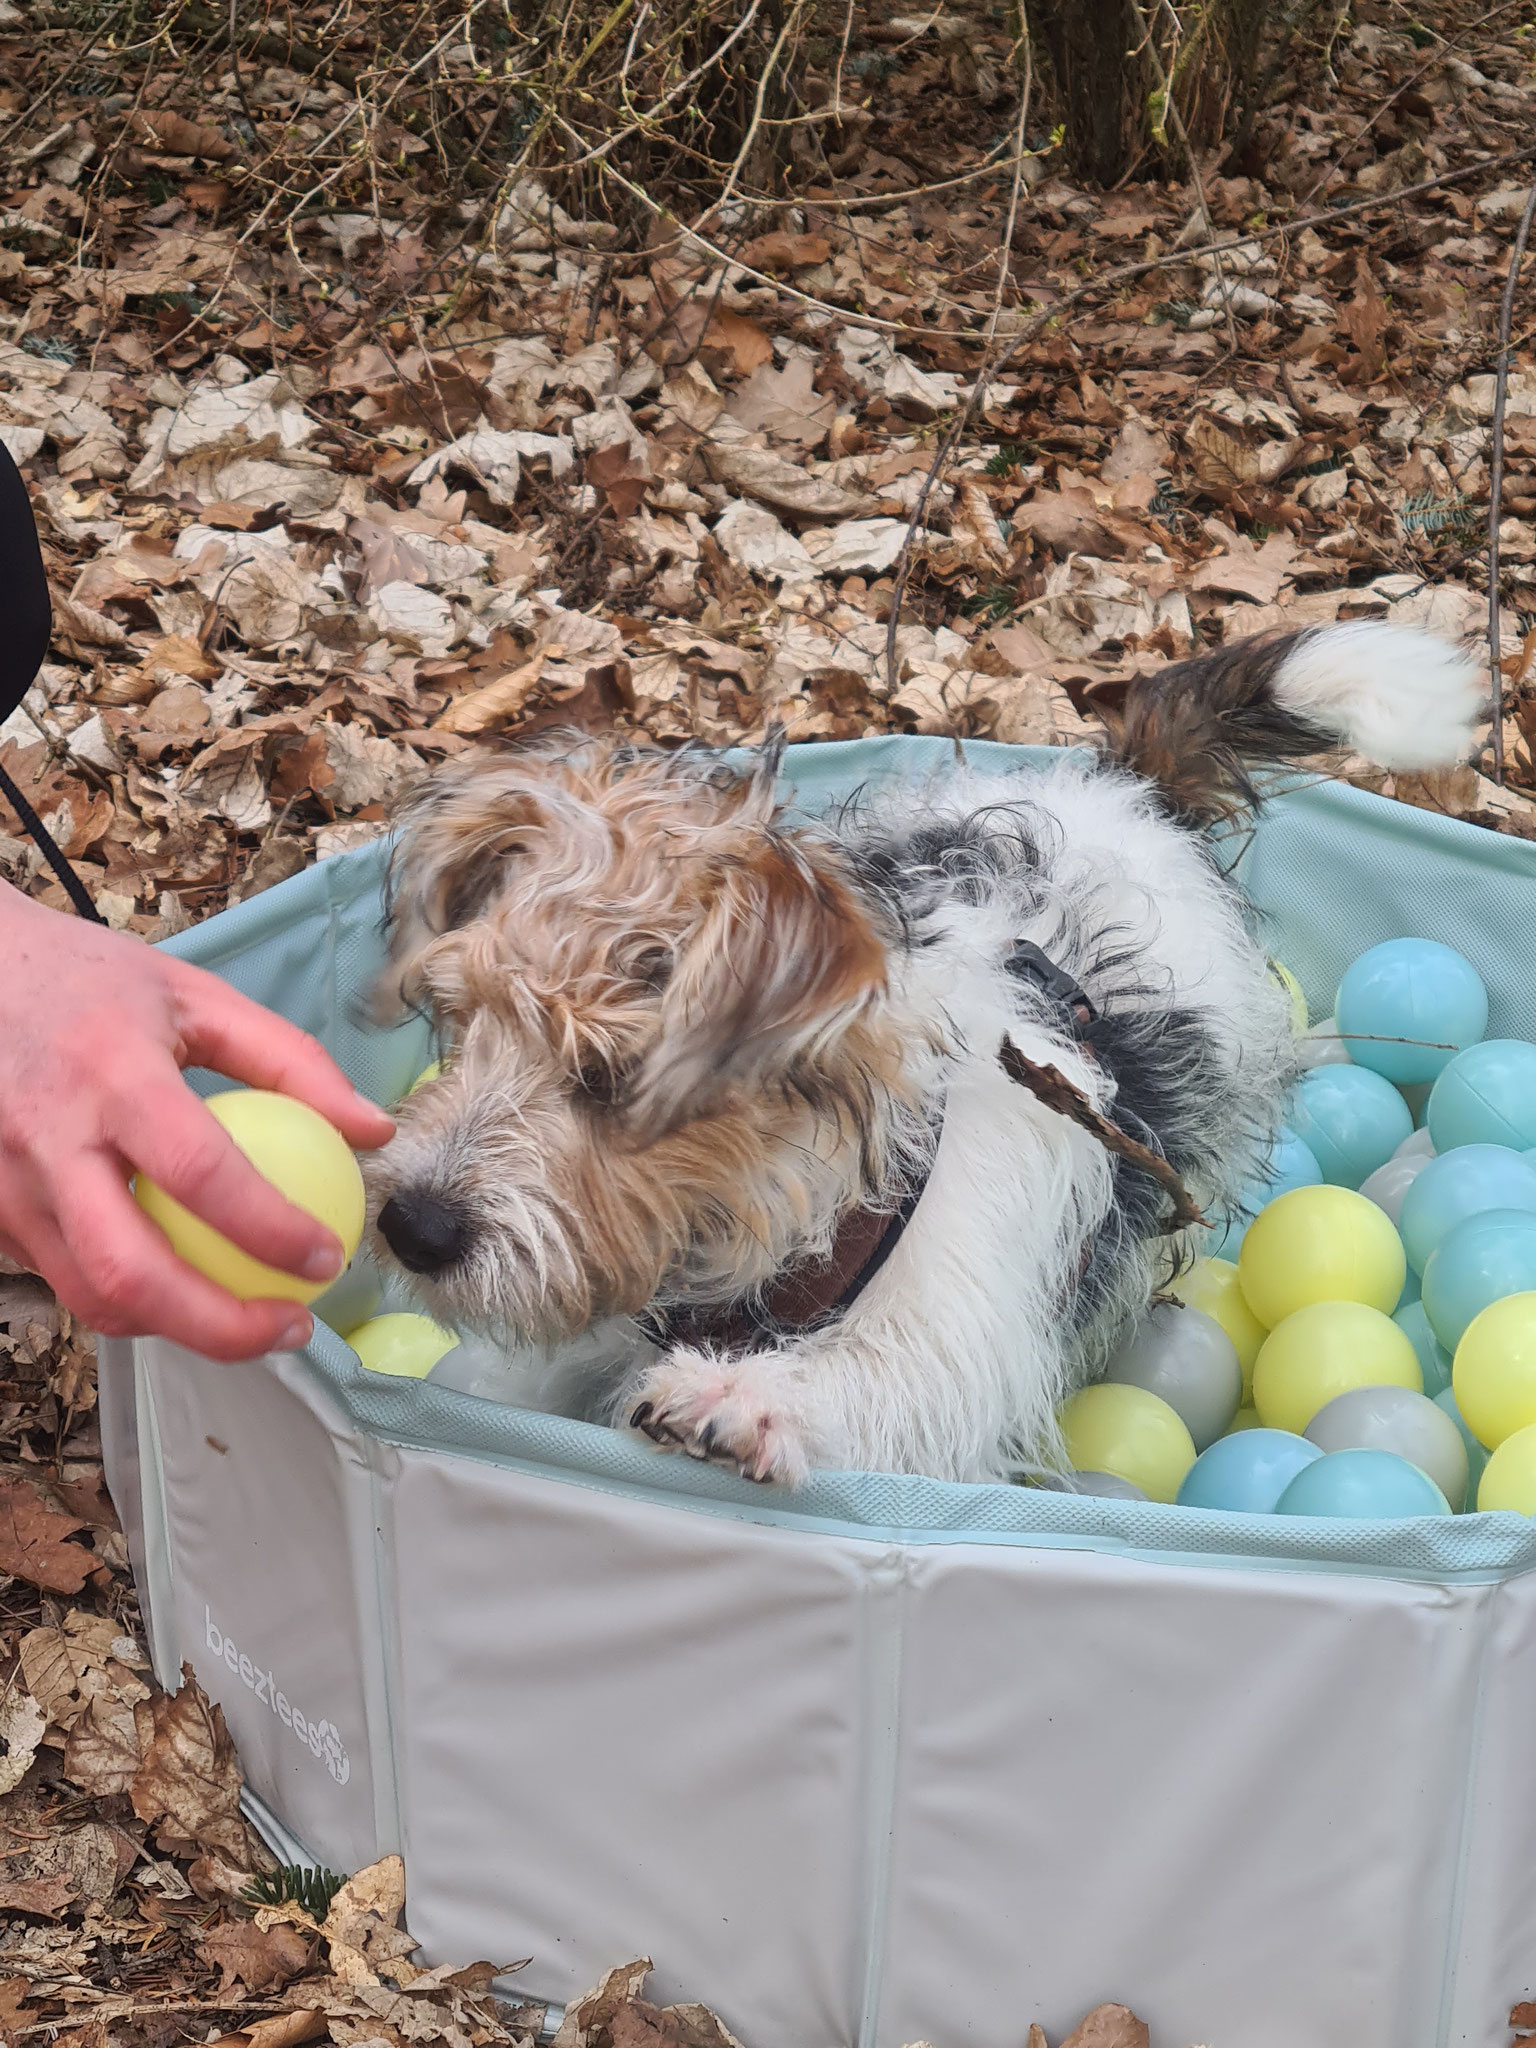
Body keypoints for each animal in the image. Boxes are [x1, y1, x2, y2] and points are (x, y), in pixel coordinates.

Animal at [366, 614, 1482, 1482]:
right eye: (464, 1020)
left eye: (609, 1077)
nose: (413, 1228)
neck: (779, 1212)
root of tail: (1128, 794)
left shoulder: (952, 1340)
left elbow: (890, 1381)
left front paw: (746, 1400)